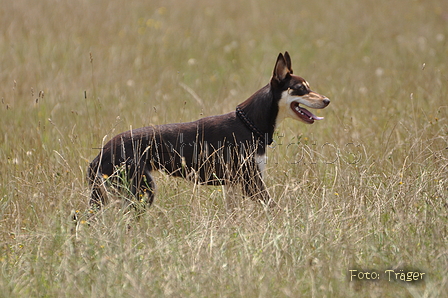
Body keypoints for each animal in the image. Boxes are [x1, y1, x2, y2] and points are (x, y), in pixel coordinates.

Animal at [89, 51, 330, 210]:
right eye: (301, 89)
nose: (327, 100)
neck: (249, 124)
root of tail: (101, 153)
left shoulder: (233, 186)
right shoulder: (252, 183)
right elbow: (274, 209)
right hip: (142, 191)